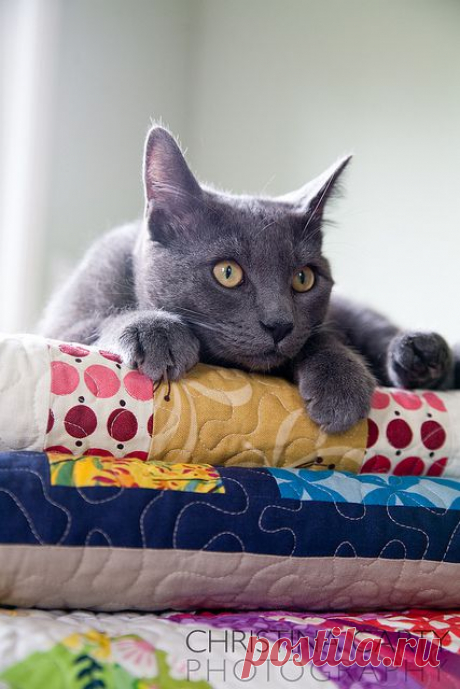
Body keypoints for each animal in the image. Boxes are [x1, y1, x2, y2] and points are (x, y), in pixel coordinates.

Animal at [39, 126, 456, 432]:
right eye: (227, 272)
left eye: (303, 278)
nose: (279, 324)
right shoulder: (62, 322)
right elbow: (97, 322)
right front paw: (156, 332)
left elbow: (319, 335)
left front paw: (341, 384)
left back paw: (422, 352)